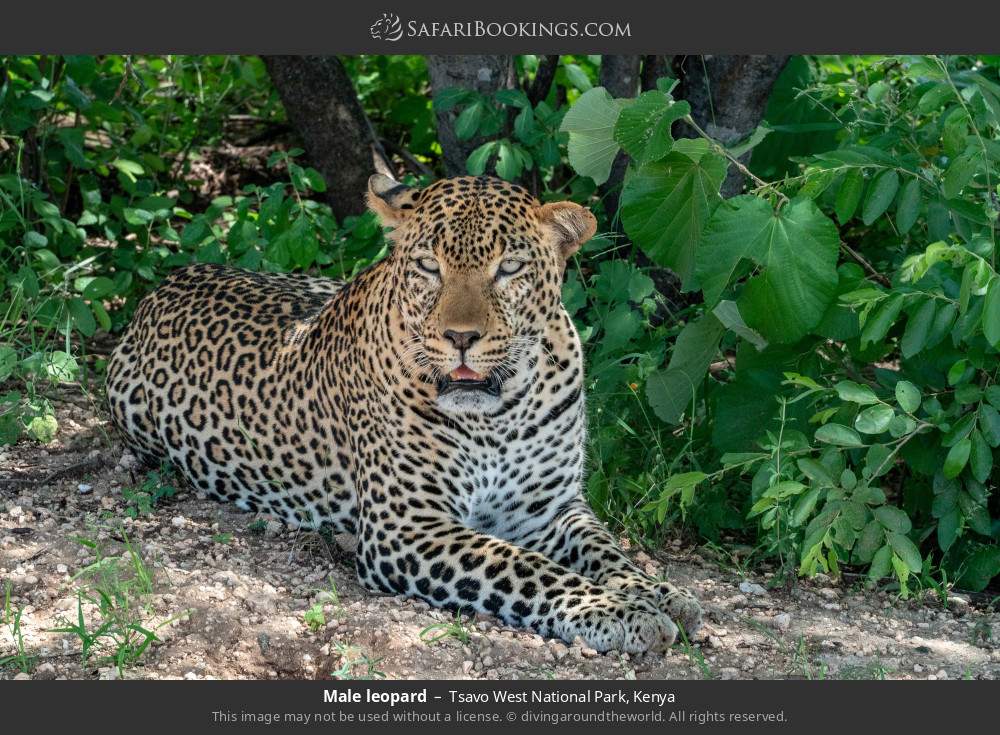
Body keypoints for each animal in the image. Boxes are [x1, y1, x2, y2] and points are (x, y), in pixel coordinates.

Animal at [107, 174, 704, 656]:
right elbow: (526, 569)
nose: (460, 338)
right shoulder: (409, 526)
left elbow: (608, 553)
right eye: (428, 266)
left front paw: (660, 593)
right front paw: (619, 613)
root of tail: (166, 282)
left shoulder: (549, 509)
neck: (500, 414)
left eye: (508, 269)